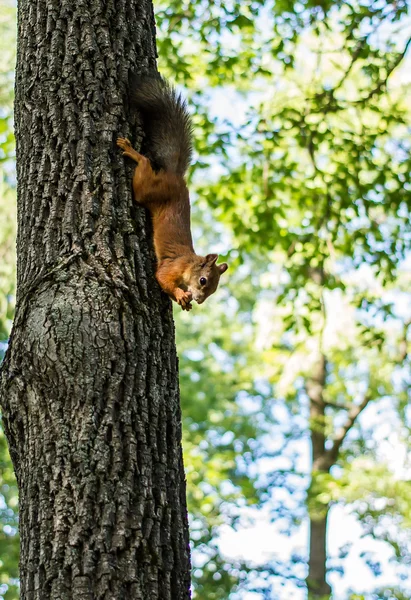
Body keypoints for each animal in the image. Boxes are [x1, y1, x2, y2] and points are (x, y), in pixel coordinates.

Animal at [117, 72, 229, 312]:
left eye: (213, 290)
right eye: (203, 280)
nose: (199, 300)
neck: (189, 264)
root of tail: (175, 176)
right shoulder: (172, 266)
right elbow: (162, 278)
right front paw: (180, 294)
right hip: (147, 190)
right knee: (144, 164)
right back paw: (132, 151)